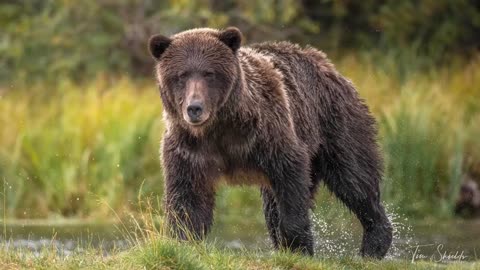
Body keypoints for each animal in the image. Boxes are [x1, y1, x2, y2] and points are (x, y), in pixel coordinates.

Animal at [148, 26, 392, 258]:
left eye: (209, 73)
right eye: (181, 75)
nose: (194, 108)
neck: (220, 128)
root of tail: (327, 64)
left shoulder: (269, 134)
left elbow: (291, 184)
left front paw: (299, 246)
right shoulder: (189, 150)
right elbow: (188, 200)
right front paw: (184, 241)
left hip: (334, 122)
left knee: (353, 177)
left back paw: (375, 243)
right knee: (274, 204)